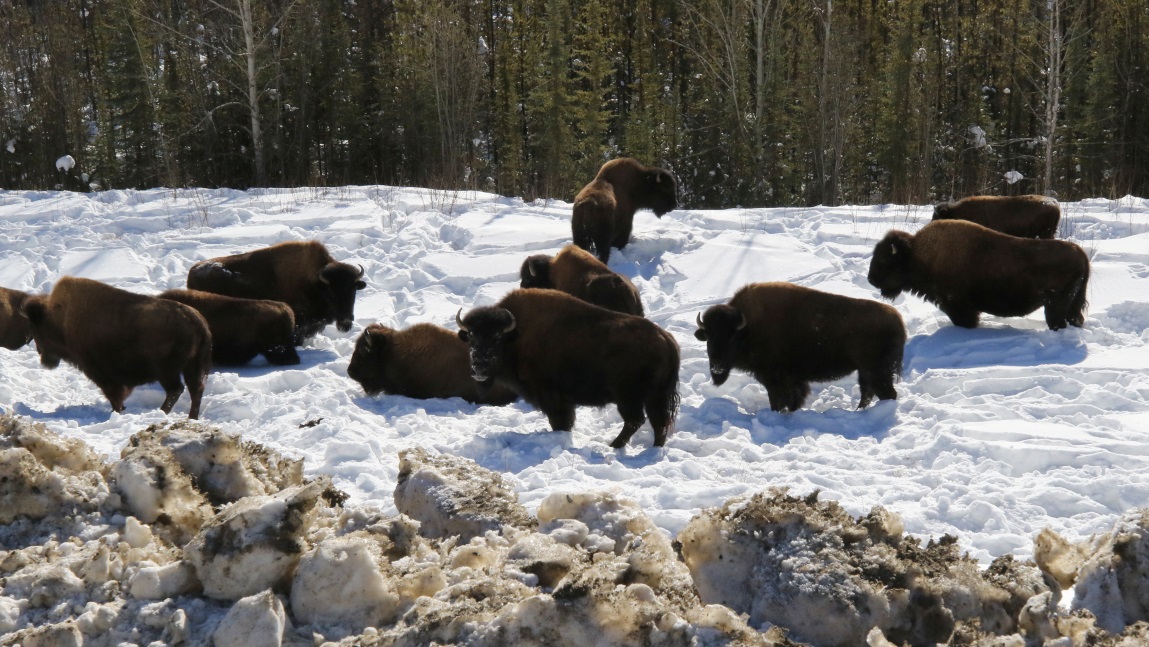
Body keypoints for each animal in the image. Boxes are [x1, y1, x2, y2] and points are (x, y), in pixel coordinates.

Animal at [21, 277, 211, 418]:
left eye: (36, 329)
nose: (42, 355)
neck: (60, 318)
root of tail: (196, 319)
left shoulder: (103, 375)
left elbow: (115, 396)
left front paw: (117, 412)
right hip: (191, 368)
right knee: (195, 390)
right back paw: (190, 417)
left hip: (167, 371)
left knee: (176, 390)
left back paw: (162, 412)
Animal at [456, 288, 679, 448]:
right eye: (472, 337)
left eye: (497, 338)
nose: (479, 368)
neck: (516, 335)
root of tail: (665, 338)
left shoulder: (553, 398)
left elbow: (560, 422)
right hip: (655, 397)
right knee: (658, 422)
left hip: (628, 396)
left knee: (636, 421)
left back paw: (613, 446)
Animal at [695, 283, 905, 412]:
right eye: (708, 337)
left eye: (731, 338)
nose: (717, 367)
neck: (748, 328)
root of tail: (898, 320)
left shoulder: (777, 380)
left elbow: (780, 400)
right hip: (865, 371)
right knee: (868, 393)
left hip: (876, 371)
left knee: (886, 393)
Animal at [868, 219, 1089, 330]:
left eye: (884, 260)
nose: (871, 279)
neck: (917, 254)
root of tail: (1082, 256)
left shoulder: (958, 305)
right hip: (1070, 306)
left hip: (1055, 305)